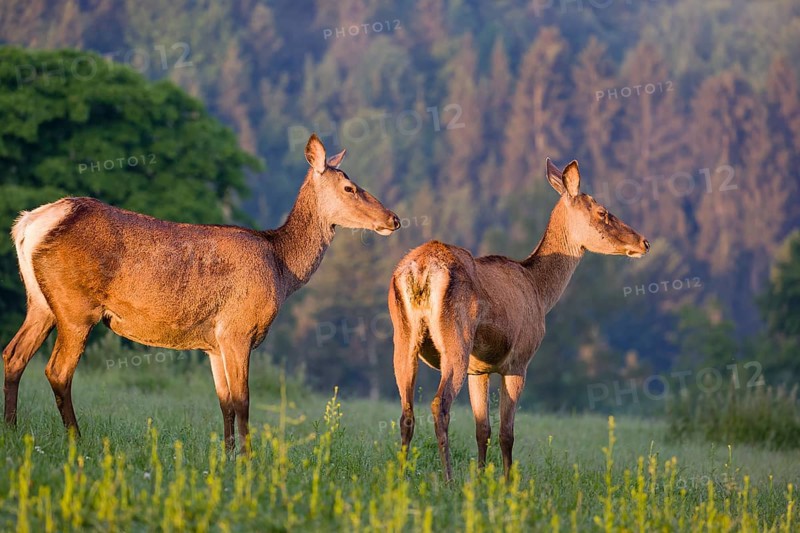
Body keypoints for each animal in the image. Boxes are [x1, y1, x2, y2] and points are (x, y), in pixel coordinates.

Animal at [2, 133, 400, 452]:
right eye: (350, 188)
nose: (393, 219)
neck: (282, 267)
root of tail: (28, 224)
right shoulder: (238, 328)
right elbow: (243, 401)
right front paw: (249, 459)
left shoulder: (213, 342)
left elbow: (224, 402)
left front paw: (227, 455)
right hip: (76, 307)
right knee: (57, 370)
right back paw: (76, 439)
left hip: (40, 303)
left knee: (13, 355)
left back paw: (12, 429)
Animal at [388, 158, 650, 481]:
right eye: (602, 212)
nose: (644, 242)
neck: (540, 290)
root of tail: (421, 269)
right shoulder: (518, 362)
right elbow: (506, 433)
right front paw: (507, 481)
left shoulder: (479, 369)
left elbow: (482, 429)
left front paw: (481, 478)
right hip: (455, 341)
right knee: (440, 404)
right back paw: (448, 479)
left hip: (403, 337)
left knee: (406, 412)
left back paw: (400, 475)